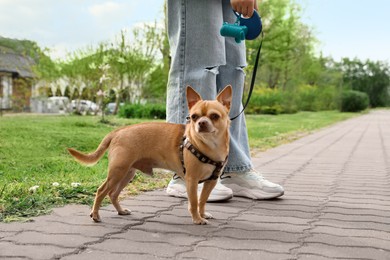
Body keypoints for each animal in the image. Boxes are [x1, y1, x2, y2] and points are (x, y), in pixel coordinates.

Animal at [67, 86, 232, 224]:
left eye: (215, 116)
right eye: (194, 117)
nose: (201, 123)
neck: (210, 145)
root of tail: (118, 131)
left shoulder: (211, 182)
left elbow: (202, 200)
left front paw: (202, 214)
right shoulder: (191, 180)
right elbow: (193, 202)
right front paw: (197, 219)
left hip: (127, 174)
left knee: (113, 194)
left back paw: (120, 211)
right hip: (117, 172)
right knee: (101, 191)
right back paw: (95, 215)